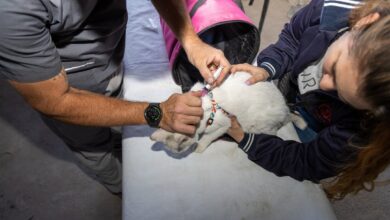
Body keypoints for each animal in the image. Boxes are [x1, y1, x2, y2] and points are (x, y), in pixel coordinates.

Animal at [151, 72, 290, 153]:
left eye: (184, 143)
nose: (179, 152)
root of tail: (285, 108)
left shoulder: (223, 126)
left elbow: (206, 138)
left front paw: (198, 148)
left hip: (258, 125)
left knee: (273, 133)